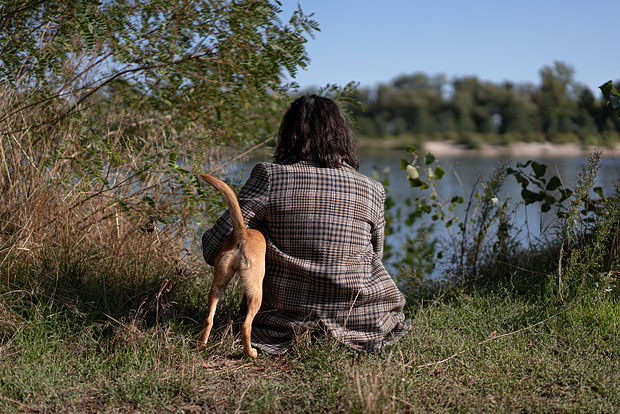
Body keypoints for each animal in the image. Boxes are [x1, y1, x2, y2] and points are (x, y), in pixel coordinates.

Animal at [196, 173, 266, 358]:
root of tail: (242, 235)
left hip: (218, 285)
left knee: (209, 319)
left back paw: (200, 346)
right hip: (256, 293)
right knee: (246, 325)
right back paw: (250, 353)